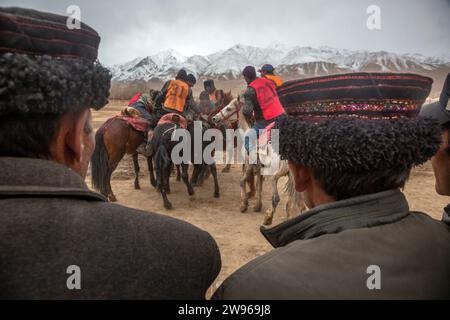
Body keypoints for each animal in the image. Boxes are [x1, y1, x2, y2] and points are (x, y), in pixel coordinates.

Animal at [212, 97, 306, 225]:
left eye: (229, 108)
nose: (214, 118)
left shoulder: (249, 166)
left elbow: (242, 182)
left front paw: (244, 204)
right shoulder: (260, 170)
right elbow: (259, 186)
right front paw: (257, 206)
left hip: (275, 175)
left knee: (276, 197)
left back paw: (268, 218)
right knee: (296, 203)